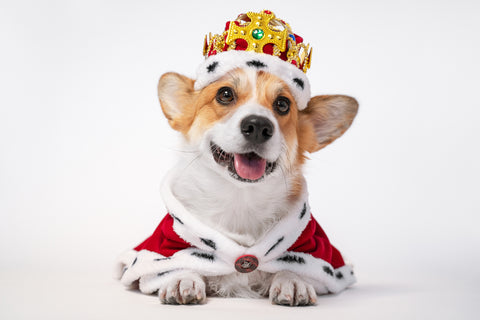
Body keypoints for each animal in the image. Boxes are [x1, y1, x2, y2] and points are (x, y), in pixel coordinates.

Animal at [116, 9, 356, 304]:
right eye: (225, 94)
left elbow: (295, 267)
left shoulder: (316, 252)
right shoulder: (162, 248)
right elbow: (174, 263)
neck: (241, 200)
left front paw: (292, 280)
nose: (258, 126)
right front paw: (182, 278)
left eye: (283, 104)